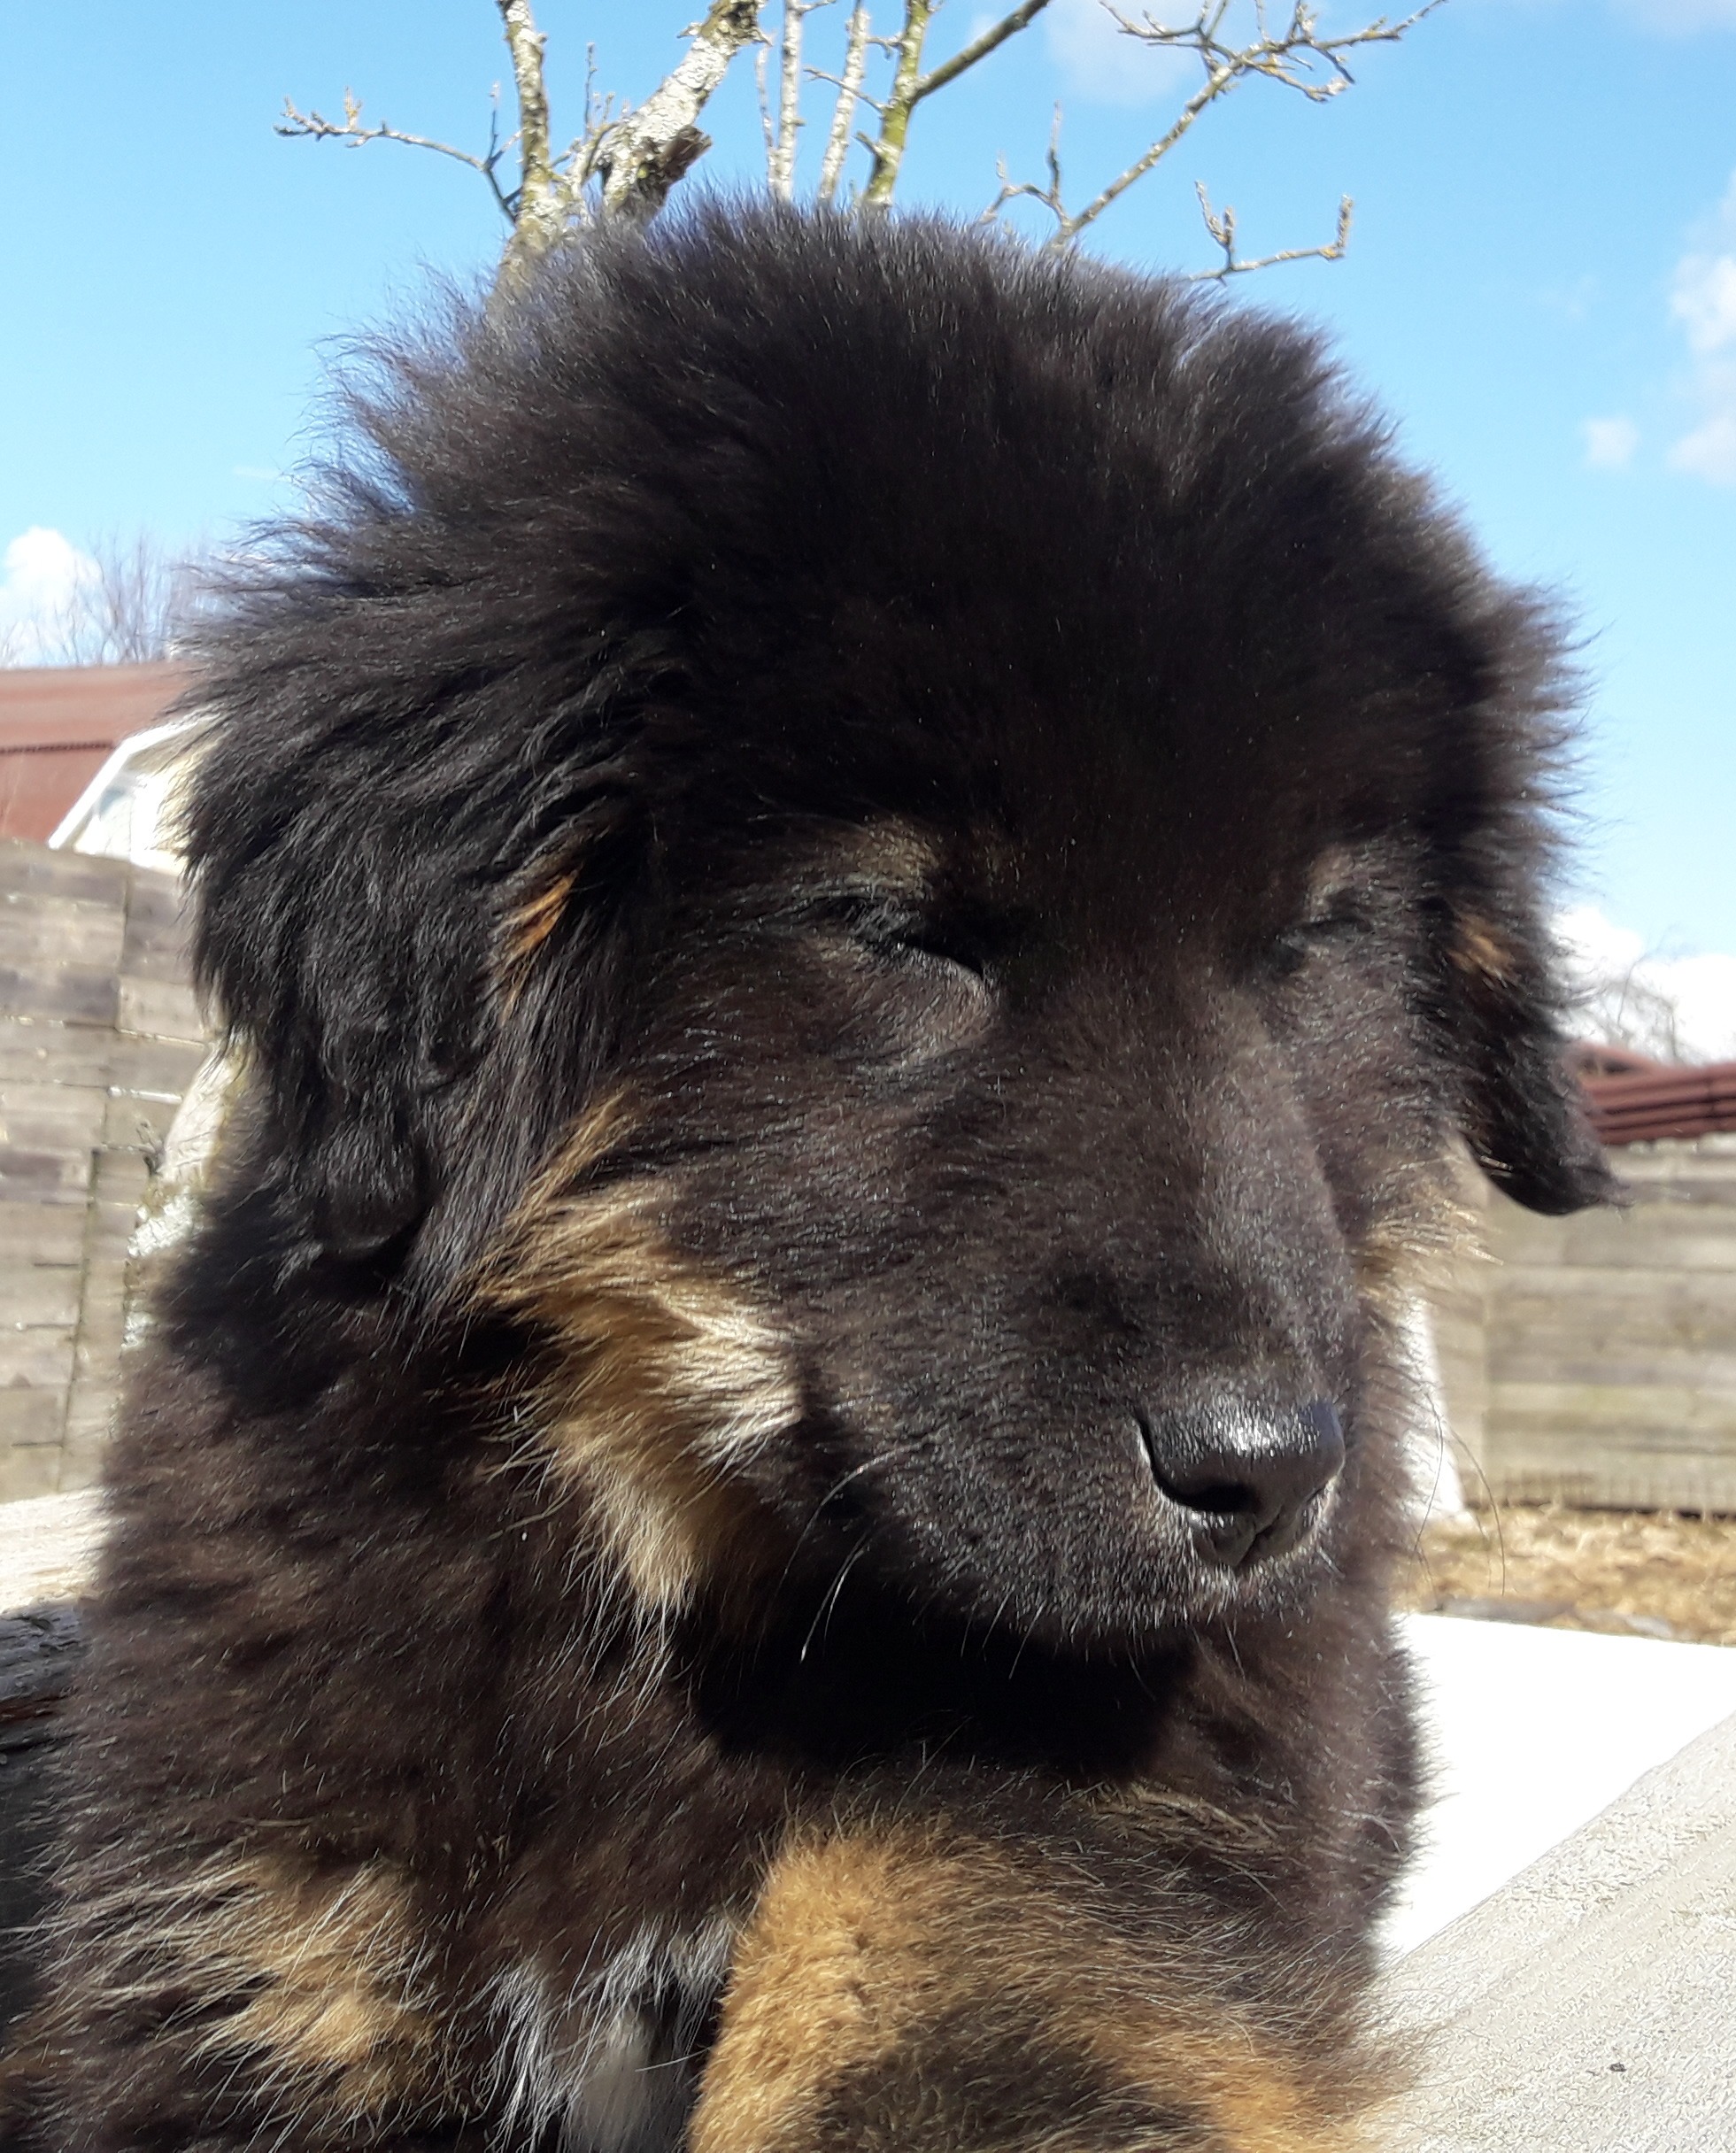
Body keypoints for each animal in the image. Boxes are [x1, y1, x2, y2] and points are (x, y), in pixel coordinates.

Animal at [6, 203, 1611, 2153]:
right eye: (903, 932)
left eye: (1308, 946)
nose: (1270, 1473)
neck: (688, 1569)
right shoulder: (245, 1912)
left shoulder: (1163, 1771)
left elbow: (935, 1925)